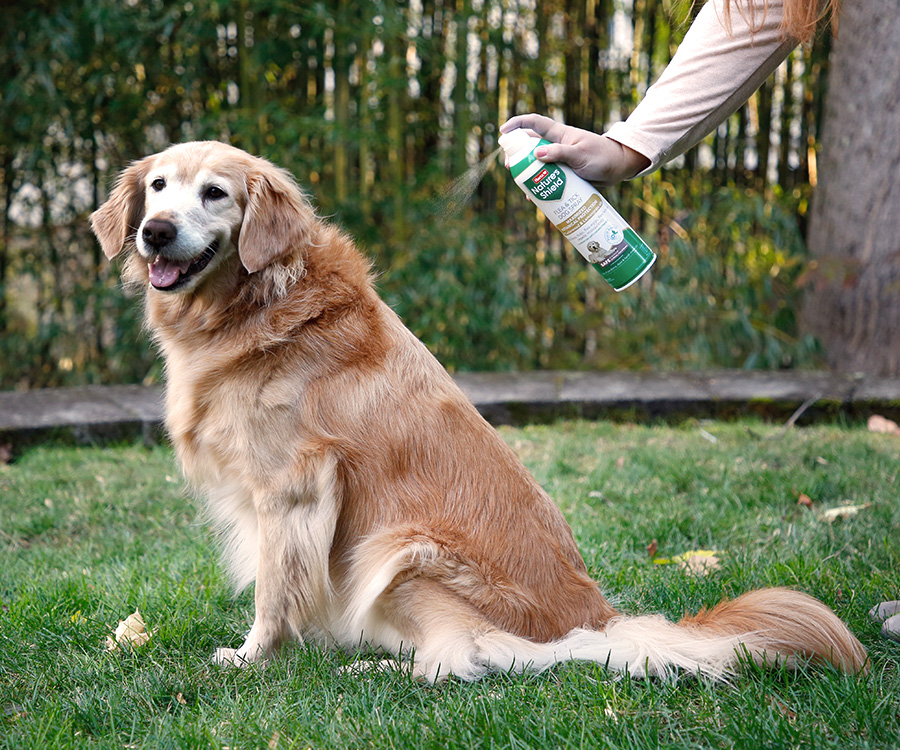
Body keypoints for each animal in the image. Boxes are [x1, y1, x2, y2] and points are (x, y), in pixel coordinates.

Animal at [89, 142, 864, 688]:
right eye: (158, 187)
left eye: (214, 193)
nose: (156, 232)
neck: (258, 303)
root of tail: (597, 622)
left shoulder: (294, 488)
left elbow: (275, 594)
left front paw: (255, 657)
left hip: (400, 549)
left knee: (464, 660)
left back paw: (376, 669)